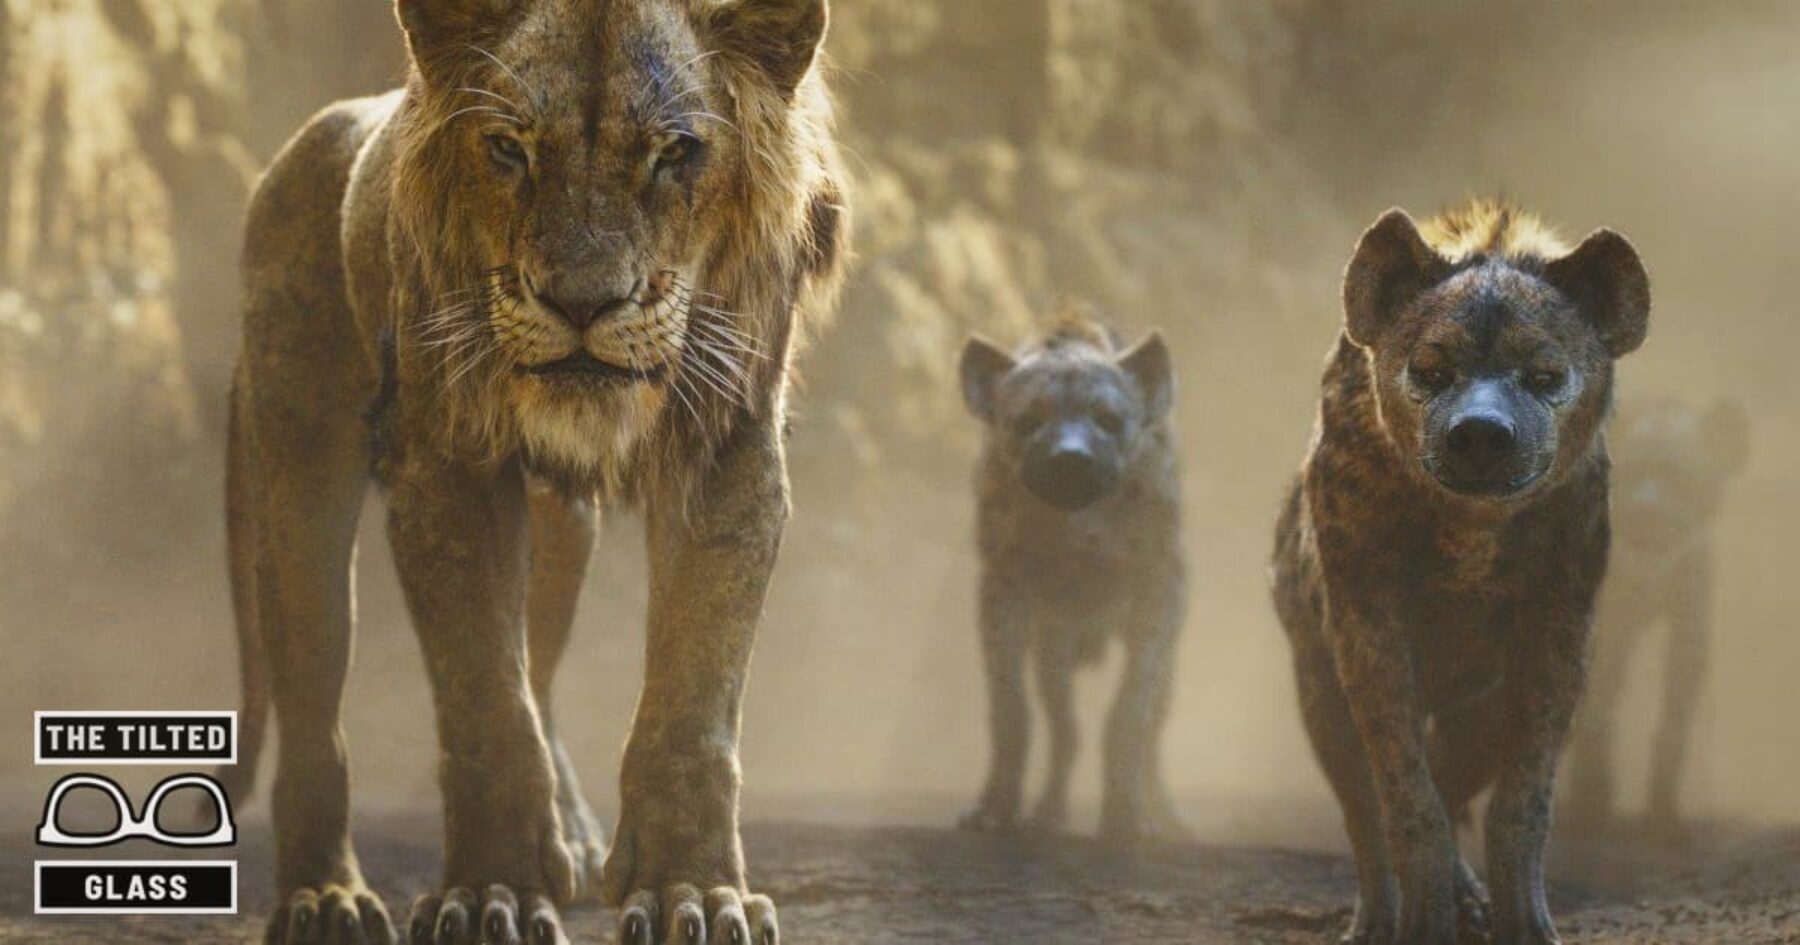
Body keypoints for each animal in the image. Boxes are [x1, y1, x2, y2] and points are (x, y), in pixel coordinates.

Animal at [220, 0, 848, 942]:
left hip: (560, 533)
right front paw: (493, 896)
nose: (582, 302)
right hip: (301, 467)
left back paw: (574, 836)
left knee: (542, 662)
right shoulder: (449, 468)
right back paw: (323, 896)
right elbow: (486, 699)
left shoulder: (727, 450)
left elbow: (692, 705)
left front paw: (691, 892)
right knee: (312, 698)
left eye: (676, 152)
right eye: (509, 148)